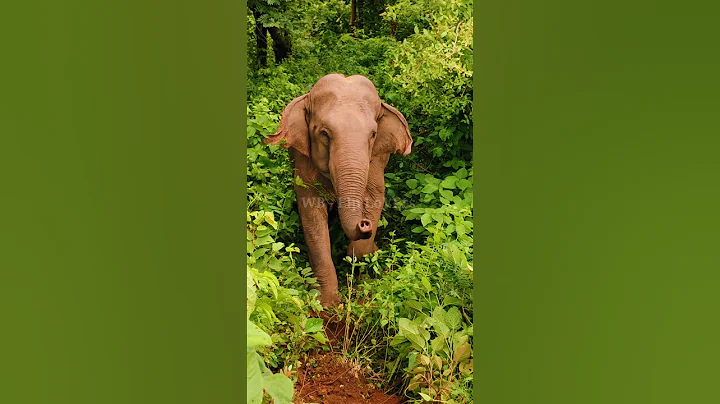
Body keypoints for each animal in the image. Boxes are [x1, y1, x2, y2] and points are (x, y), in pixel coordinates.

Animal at [264, 73, 413, 307]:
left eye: (373, 134)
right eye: (324, 133)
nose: (364, 223)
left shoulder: (376, 161)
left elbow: (375, 197)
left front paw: (363, 257)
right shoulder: (303, 161)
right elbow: (311, 213)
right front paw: (326, 303)